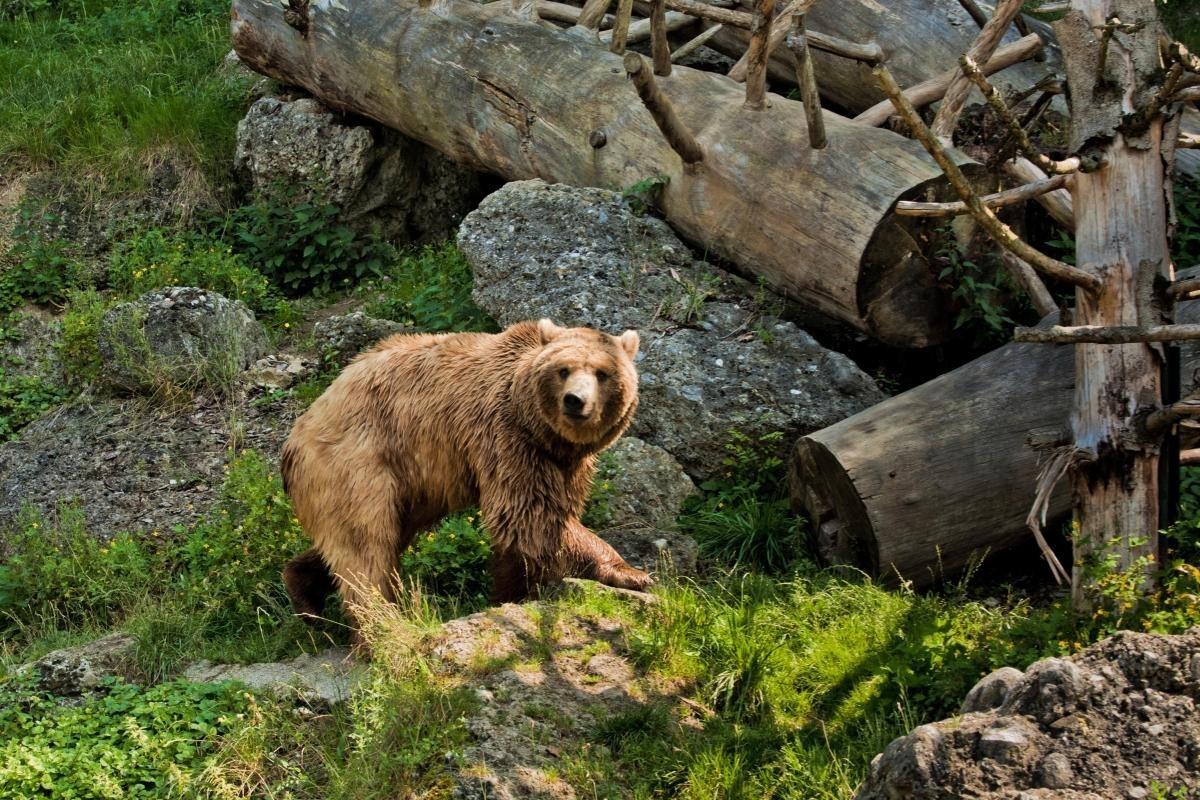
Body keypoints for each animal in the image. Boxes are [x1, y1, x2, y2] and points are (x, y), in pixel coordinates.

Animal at [279, 316, 652, 633]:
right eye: (564, 369)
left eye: (602, 373)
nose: (575, 401)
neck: (540, 429)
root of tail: (296, 435)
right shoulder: (505, 435)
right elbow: (528, 515)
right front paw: (632, 573)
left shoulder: (563, 462)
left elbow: (531, 530)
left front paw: (508, 593)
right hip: (357, 460)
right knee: (365, 546)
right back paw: (382, 625)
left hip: (402, 484)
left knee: (366, 538)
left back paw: (304, 593)